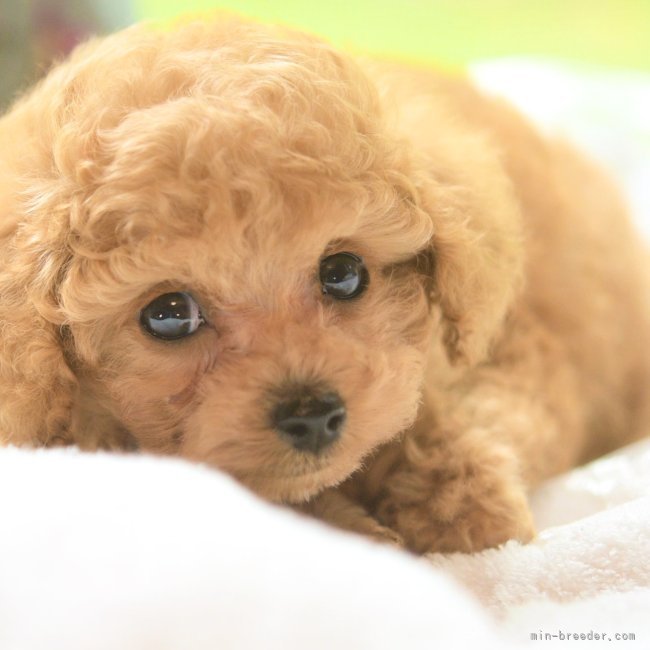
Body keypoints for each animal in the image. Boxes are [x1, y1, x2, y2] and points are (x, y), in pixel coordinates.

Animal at [1, 19, 648, 552]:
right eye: (168, 315)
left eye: (343, 274)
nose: (311, 416)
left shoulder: (521, 344)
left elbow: (477, 405)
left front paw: (460, 509)